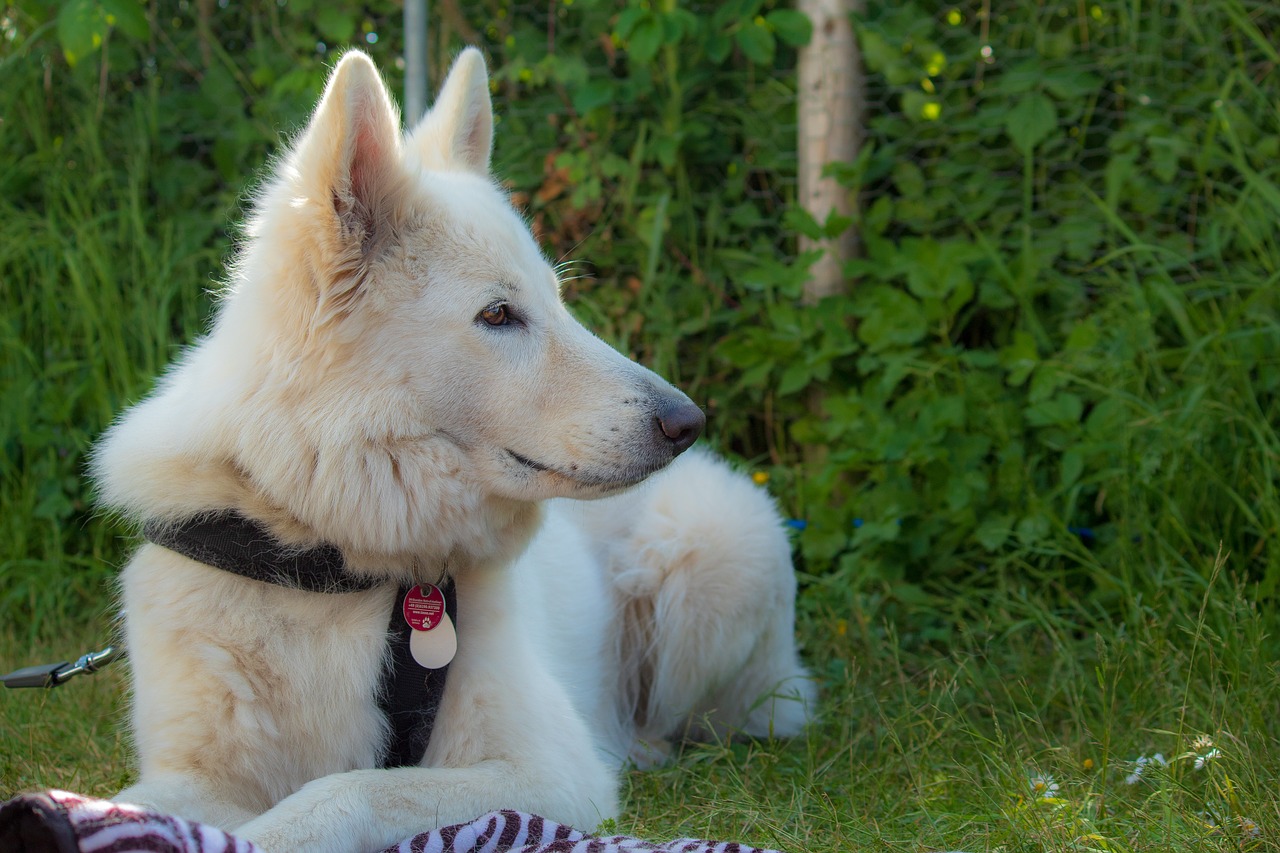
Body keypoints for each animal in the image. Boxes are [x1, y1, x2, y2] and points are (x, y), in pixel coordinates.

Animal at [92, 48, 808, 850]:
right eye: (498, 314)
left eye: (556, 301)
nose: (687, 421)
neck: (332, 560)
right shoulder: (192, 777)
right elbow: (130, 804)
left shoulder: (546, 768)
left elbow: (344, 790)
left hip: (708, 570)